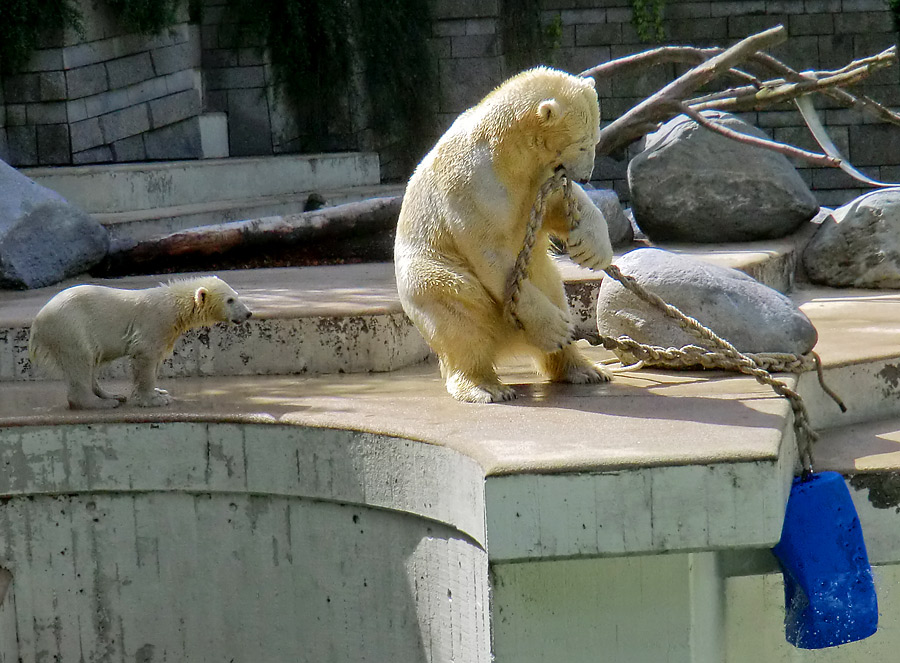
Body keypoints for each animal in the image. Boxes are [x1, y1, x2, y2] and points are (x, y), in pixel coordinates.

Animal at [398, 67, 616, 402]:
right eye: (582, 144)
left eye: (596, 139)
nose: (586, 176)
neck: (506, 150)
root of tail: (509, 342)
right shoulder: (473, 182)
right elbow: (491, 252)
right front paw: (555, 329)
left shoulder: (539, 175)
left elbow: (559, 205)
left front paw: (592, 248)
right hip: (434, 277)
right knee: (461, 318)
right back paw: (485, 386)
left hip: (542, 276)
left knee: (554, 289)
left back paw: (586, 369)